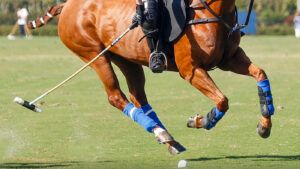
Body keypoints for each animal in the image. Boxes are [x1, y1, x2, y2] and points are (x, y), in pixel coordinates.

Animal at [29, 0, 274, 153]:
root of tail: (67, 5)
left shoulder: (230, 58)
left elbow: (260, 74)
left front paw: (264, 126)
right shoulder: (191, 69)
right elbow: (223, 100)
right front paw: (201, 121)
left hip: (125, 58)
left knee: (138, 97)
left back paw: (167, 138)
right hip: (93, 54)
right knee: (116, 96)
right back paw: (163, 134)